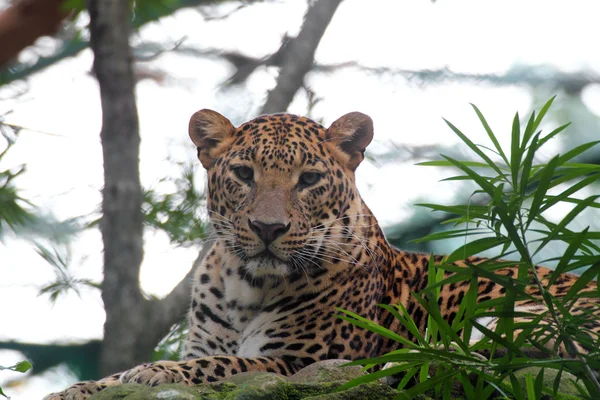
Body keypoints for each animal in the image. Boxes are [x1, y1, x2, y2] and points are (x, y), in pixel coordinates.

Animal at [47, 110, 600, 400]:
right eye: (244, 174)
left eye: (309, 179)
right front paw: (80, 388)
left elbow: (223, 365)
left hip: (531, 319)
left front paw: (152, 372)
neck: (244, 286)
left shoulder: (303, 362)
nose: (268, 228)